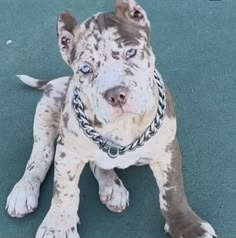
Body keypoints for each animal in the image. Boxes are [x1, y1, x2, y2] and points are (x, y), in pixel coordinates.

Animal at [5, 0, 217, 238]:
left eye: (131, 52)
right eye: (85, 69)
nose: (116, 94)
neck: (124, 126)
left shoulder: (167, 150)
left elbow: (172, 192)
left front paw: (187, 226)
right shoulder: (68, 152)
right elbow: (64, 191)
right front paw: (58, 226)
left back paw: (111, 186)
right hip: (48, 107)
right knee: (40, 155)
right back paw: (24, 190)